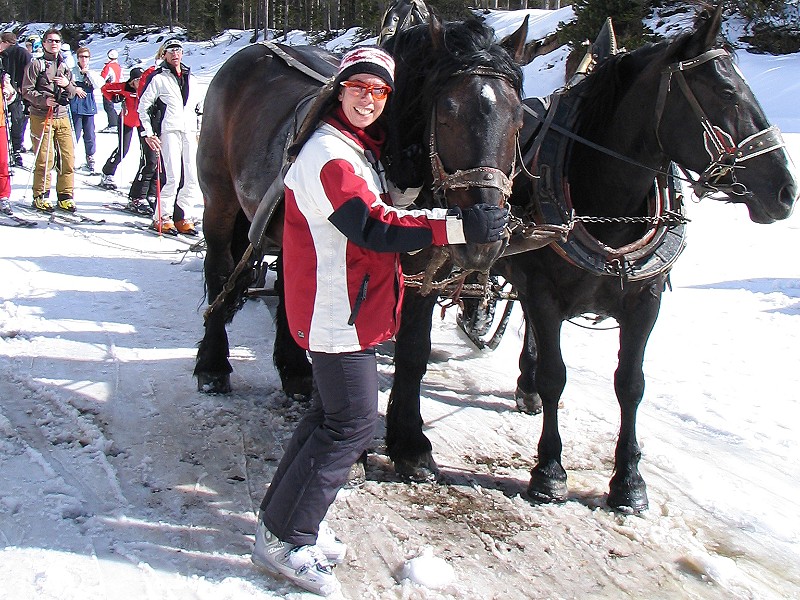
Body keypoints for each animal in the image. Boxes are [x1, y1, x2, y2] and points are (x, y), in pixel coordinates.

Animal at [195, 14, 528, 396]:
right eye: (446, 116)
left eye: (518, 119)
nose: (482, 243)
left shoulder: (427, 276)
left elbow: (412, 351)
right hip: (219, 201)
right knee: (219, 269)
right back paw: (212, 364)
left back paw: (295, 369)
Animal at [384, 5, 796, 510]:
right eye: (725, 92)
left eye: (741, 87)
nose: (785, 191)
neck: (606, 203)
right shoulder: (542, 291)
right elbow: (556, 377)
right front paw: (549, 472)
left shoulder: (645, 301)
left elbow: (631, 384)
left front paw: (629, 482)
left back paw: (523, 387)